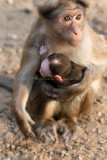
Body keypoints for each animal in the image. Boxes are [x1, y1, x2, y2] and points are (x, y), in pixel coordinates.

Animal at [11, 0, 107, 142]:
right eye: (66, 19)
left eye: (78, 17)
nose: (76, 32)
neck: (61, 40)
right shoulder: (37, 35)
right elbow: (26, 73)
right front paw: (20, 115)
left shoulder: (87, 38)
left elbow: (102, 61)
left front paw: (71, 91)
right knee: (43, 87)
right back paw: (45, 122)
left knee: (84, 92)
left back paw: (69, 120)